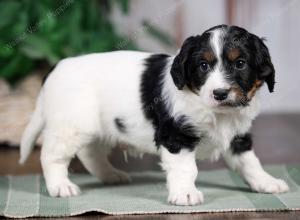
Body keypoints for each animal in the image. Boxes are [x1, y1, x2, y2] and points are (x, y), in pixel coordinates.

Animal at [19, 24, 288, 205]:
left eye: (240, 63)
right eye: (203, 66)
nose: (220, 93)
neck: (216, 111)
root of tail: (55, 68)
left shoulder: (237, 136)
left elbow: (249, 161)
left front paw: (266, 182)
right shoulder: (176, 136)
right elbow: (186, 168)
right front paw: (185, 193)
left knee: (90, 153)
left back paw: (110, 175)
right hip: (70, 126)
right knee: (52, 156)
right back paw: (60, 186)